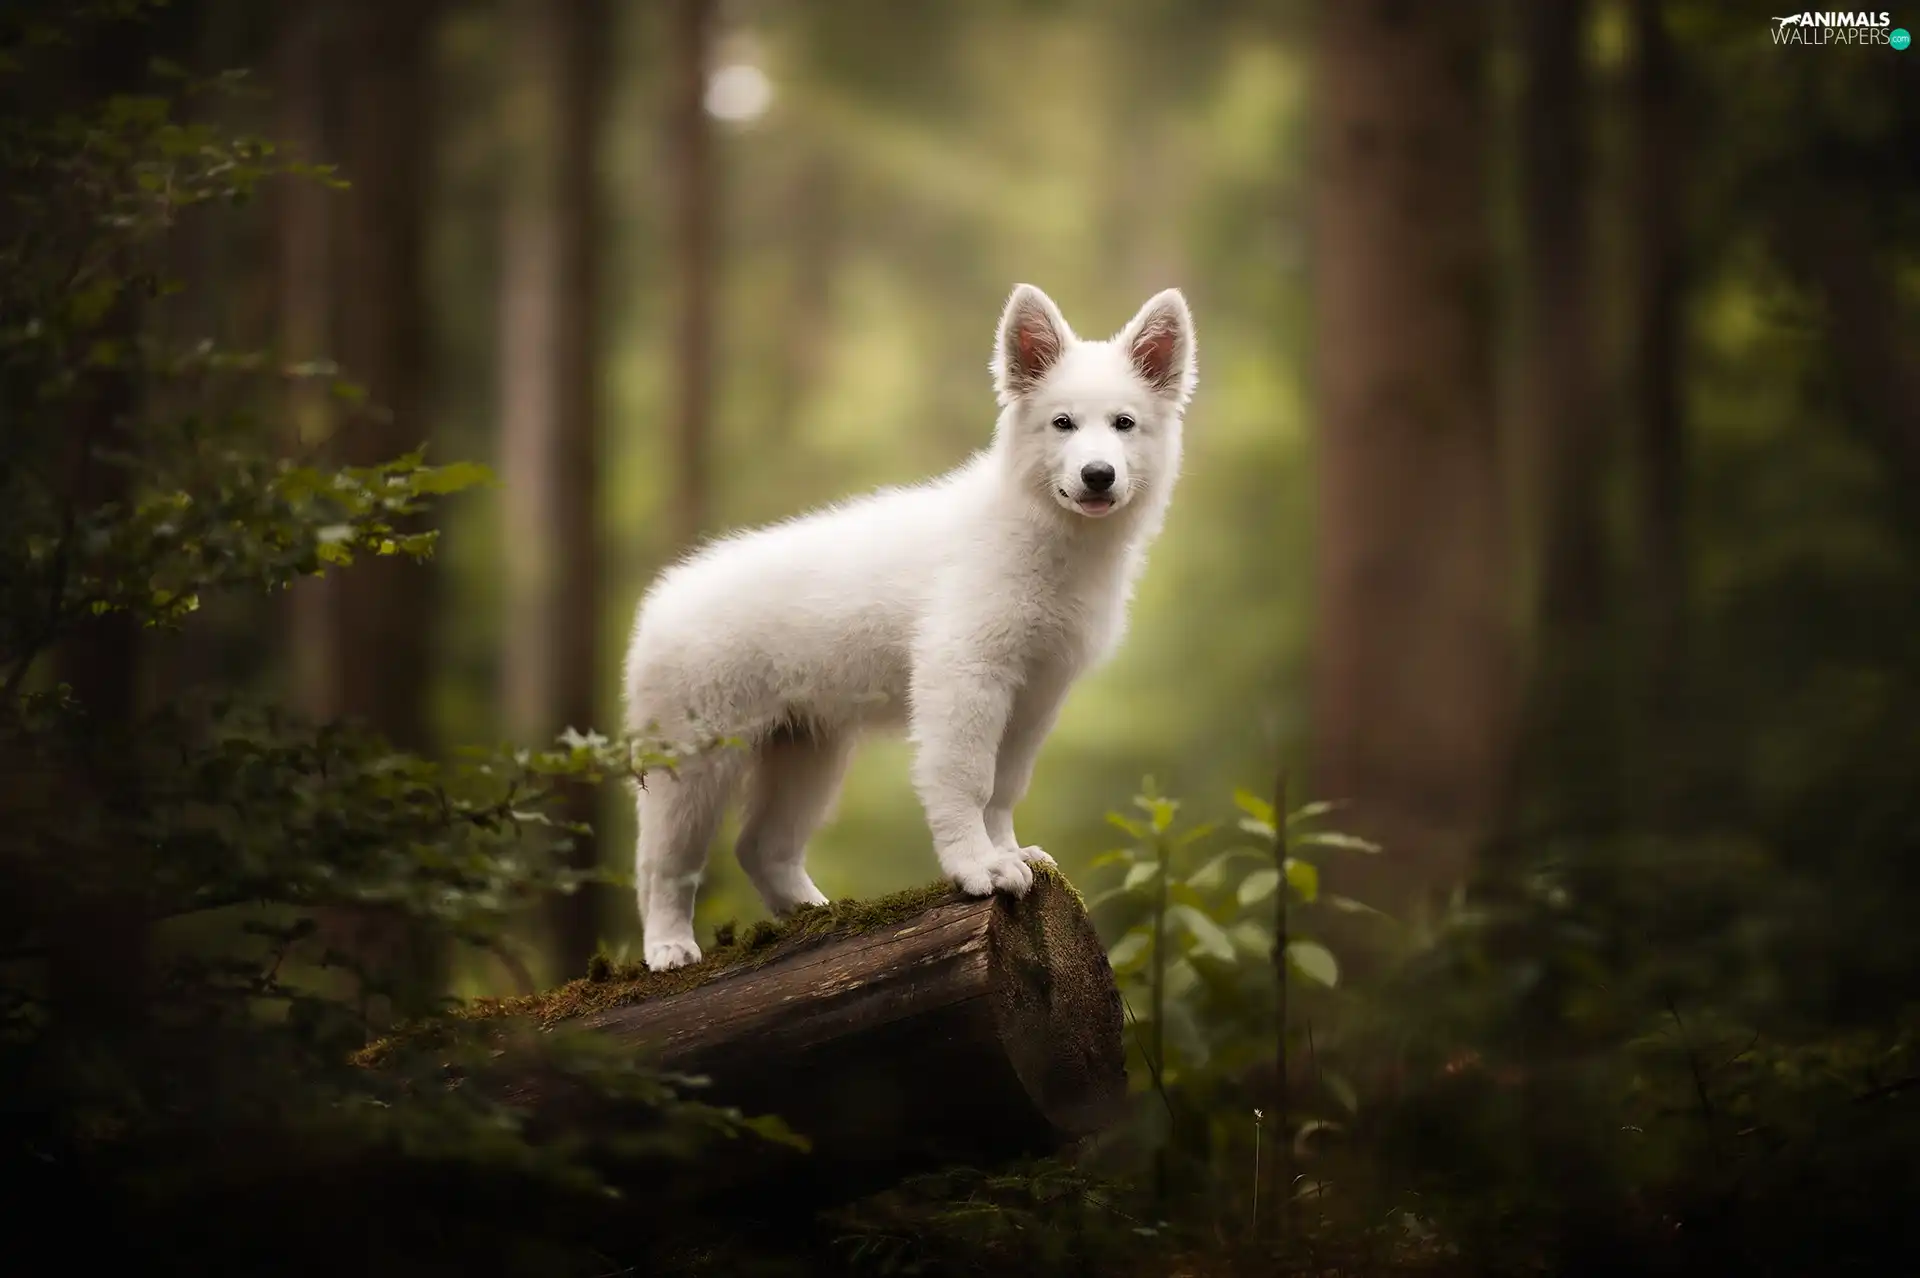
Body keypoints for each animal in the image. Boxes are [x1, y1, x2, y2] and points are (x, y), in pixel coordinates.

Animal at [625, 285, 1198, 967]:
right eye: (1062, 423)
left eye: (1124, 424)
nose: (1098, 475)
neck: (1043, 535)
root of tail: (660, 601)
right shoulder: (965, 675)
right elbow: (968, 779)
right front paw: (979, 866)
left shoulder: (1036, 691)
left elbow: (1005, 785)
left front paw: (1008, 852)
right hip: (694, 760)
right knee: (662, 864)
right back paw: (669, 946)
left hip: (807, 750)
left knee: (761, 846)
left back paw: (815, 913)